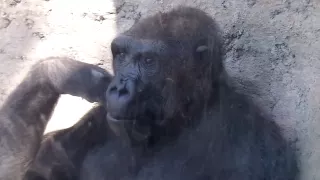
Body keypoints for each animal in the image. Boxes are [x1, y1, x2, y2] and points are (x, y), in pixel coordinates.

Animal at [0, 5, 300, 180]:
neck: (181, 120)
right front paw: (65, 73)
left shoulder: (254, 144)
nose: (119, 87)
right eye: (121, 55)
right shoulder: (97, 122)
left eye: (147, 61)